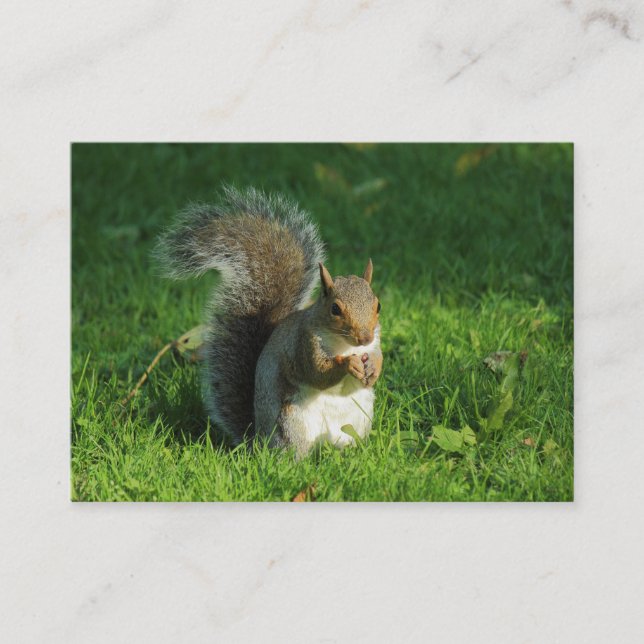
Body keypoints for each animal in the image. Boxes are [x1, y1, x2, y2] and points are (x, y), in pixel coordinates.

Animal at [154, 185, 383, 457]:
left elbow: (377, 357)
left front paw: (373, 369)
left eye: (378, 305)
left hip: (358, 419)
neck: (345, 344)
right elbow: (317, 373)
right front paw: (349, 364)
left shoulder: (375, 341)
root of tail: (259, 441)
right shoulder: (303, 345)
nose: (364, 337)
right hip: (291, 422)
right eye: (335, 309)